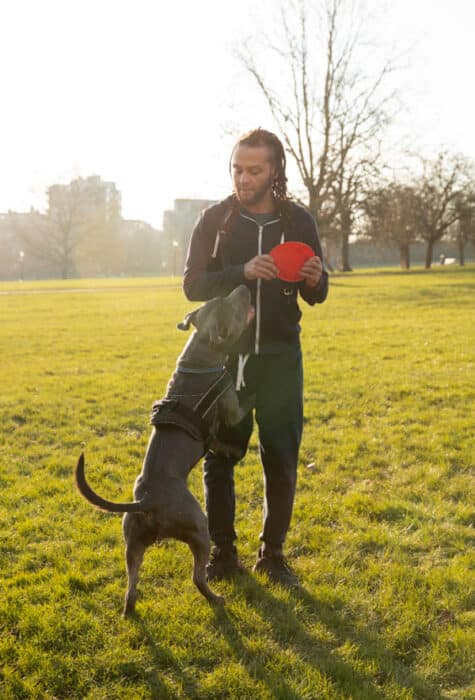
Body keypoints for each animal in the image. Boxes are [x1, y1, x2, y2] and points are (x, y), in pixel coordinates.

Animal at [74, 284, 255, 612]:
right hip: (199, 529)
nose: (244, 286)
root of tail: (147, 502)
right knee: (197, 578)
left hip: (133, 544)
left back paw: (130, 609)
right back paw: (216, 598)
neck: (200, 356)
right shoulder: (231, 406)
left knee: (131, 585)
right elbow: (244, 403)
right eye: (233, 307)